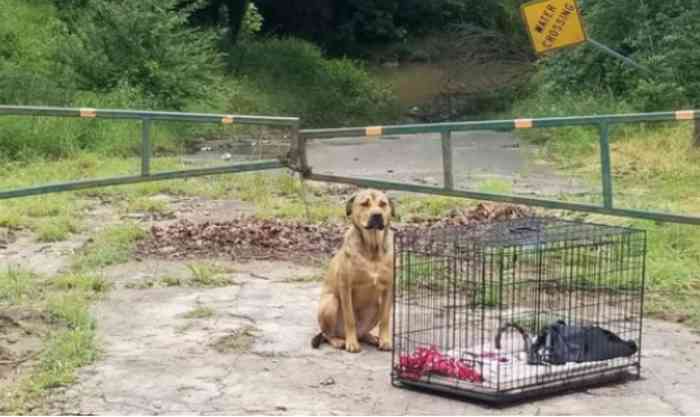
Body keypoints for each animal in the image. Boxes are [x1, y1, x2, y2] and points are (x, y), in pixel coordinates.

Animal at [310, 188, 394, 352]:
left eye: (383, 204)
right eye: (365, 204)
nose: (377, 215)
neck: (372, 250)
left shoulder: (388, 288)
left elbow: (385, 319)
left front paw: (385, 340)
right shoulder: (346, 287)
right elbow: (350, 318)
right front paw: (352, 343)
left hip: (377, 305)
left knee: (363, 332)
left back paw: (371, 337)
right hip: (330, 302)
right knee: (327, 334)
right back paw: (338, 341)